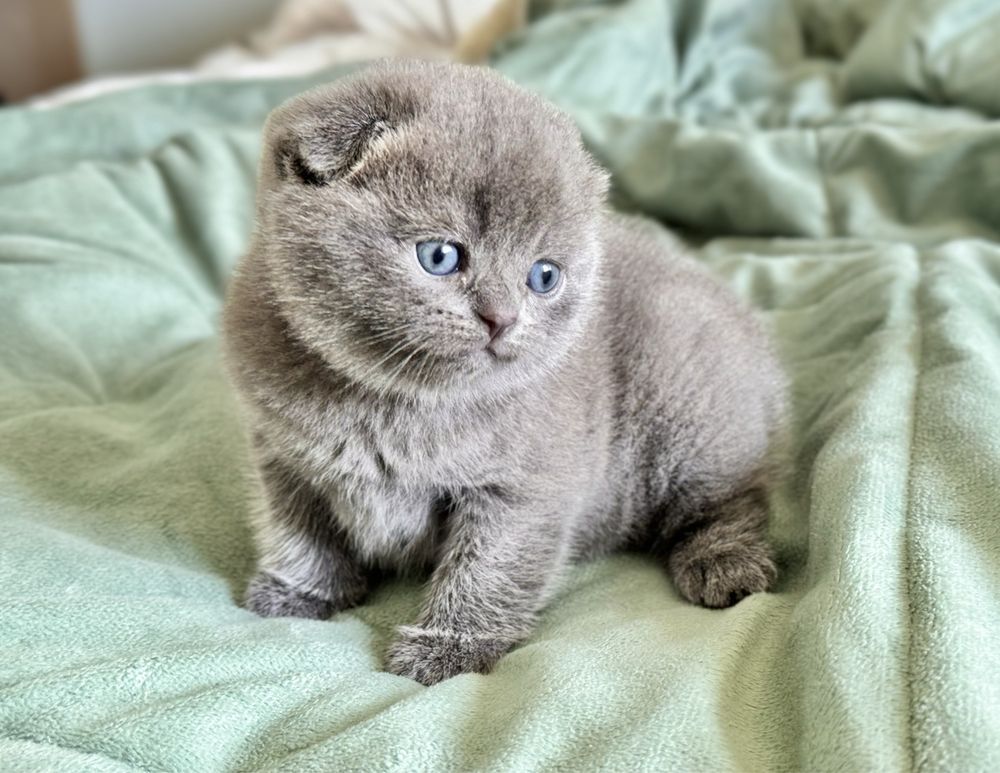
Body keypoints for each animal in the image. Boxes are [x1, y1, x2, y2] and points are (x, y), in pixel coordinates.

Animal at [223, 61, 784, 688]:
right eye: (440, 256)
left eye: (543, 276)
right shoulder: (282, 457)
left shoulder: (524, 487)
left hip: (689, 417)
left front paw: (450, 648)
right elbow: (296, 530)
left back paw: (725, 562)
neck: (393, 401)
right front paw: (299, 593)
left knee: (737, 495)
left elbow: (487, 567)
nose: (502, 318)